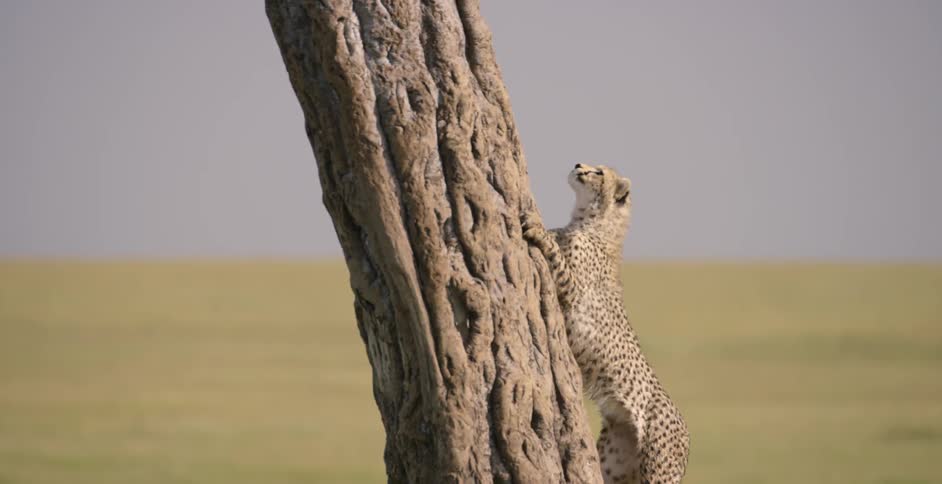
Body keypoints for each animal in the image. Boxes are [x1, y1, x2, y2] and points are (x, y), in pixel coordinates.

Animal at [522, 163, 689, 484]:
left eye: (598, 171)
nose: (578, 165)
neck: (590, 220)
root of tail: (687, 434)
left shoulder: (574, 291)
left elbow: (555, 254)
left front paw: (537, 229)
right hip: (615, 461)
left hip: (658, 471)